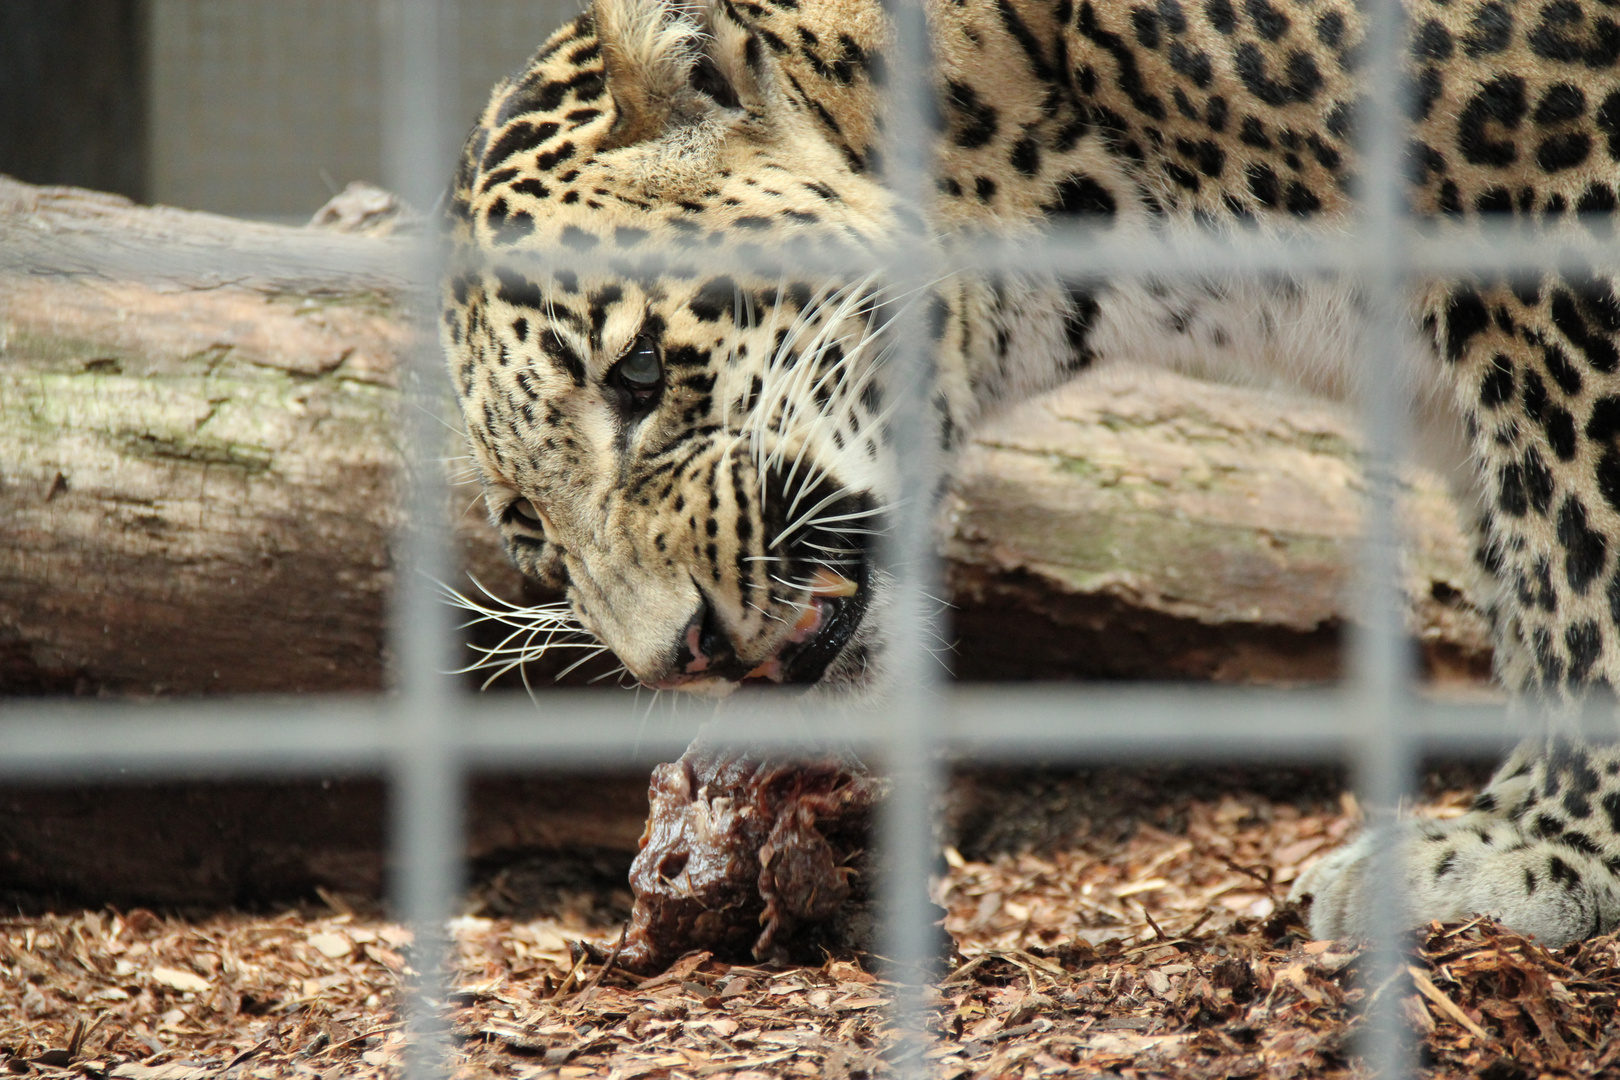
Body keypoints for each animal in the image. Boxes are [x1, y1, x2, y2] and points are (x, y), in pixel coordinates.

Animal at [440, 0, 1620, 945]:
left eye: (638, 371)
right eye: (527, 527)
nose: (679, 654)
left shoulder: (1552, 246)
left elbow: (1579, 565)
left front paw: (1545, 855)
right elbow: (1524, 576)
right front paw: (1508, 819)